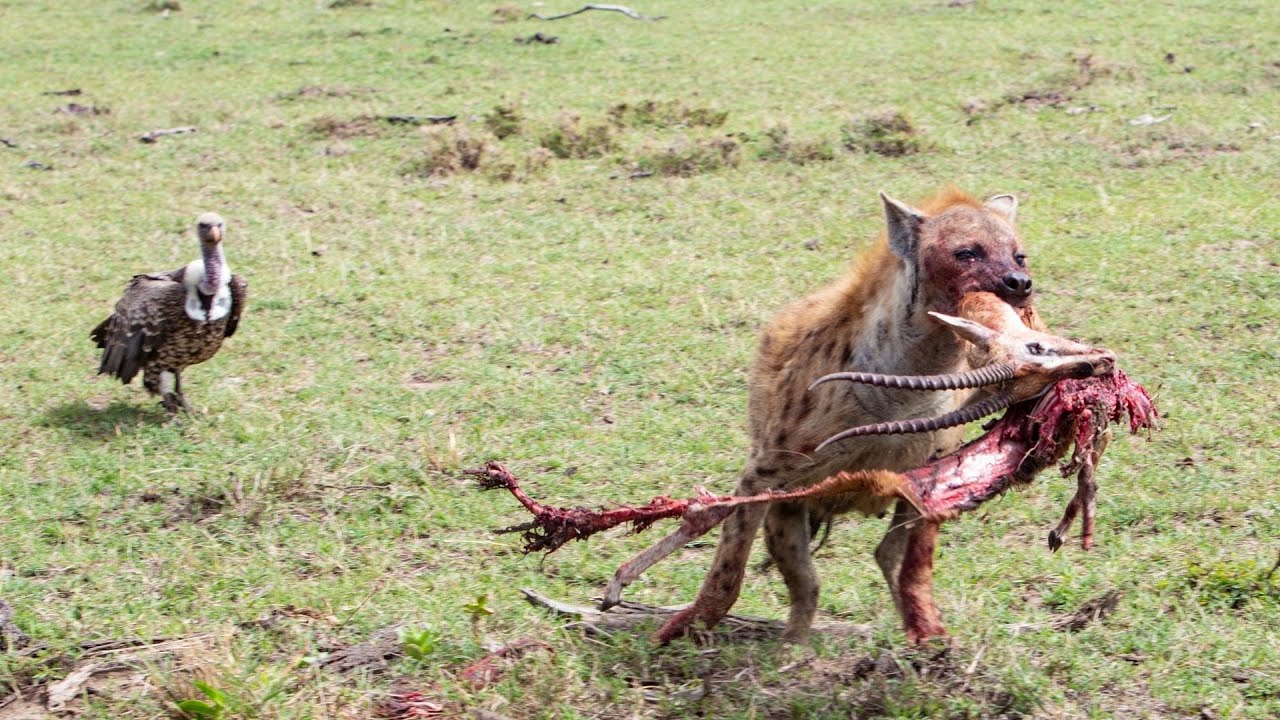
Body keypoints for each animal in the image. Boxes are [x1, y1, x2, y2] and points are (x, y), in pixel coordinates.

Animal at [645, 187, 1105, 644]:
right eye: (966, 253)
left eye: (1019, 256)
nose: (1019, 283)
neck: (911, 377)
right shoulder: (768, 468)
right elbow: (730, 558)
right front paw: (684, 629)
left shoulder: (935, 463)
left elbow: (917, 554)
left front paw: (930, 632)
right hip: (788, 509)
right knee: (805, 579)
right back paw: (793, 646)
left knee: (880, 556)